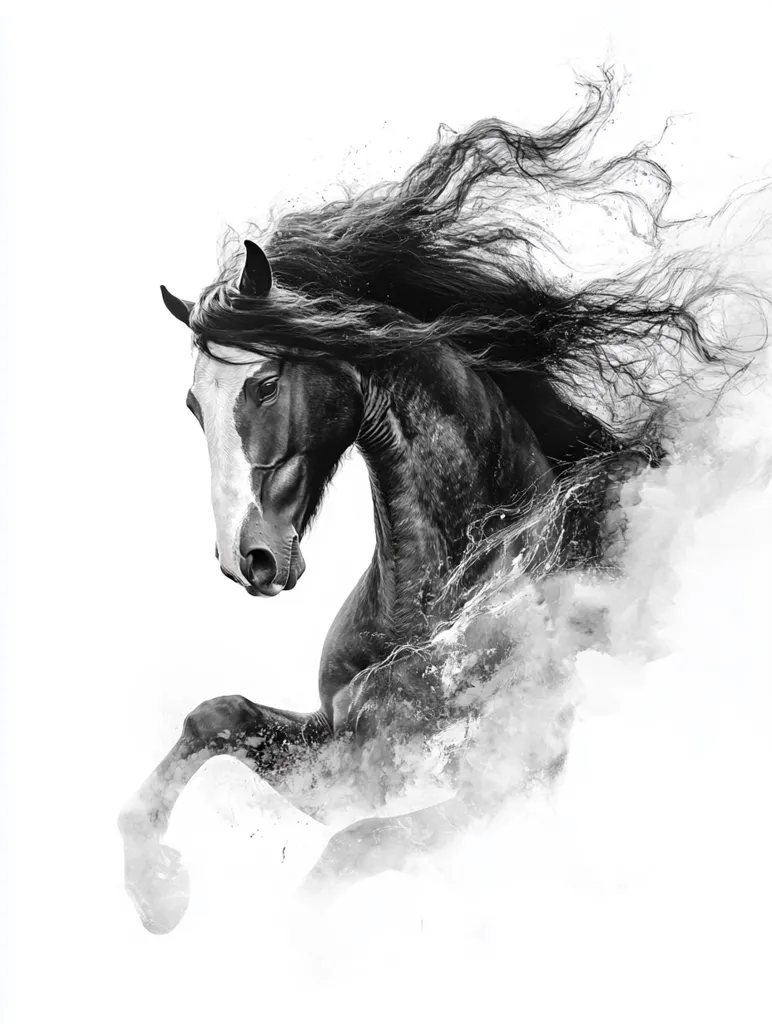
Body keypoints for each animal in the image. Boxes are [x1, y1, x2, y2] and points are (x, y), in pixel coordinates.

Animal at [118, 82, 729, 934]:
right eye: (190, 403)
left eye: (266, 383)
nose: (248, 560)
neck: (443, 601)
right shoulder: (350, 758)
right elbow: (216, 715)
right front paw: (157, 888)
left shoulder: (497, 781)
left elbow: (345, 857)